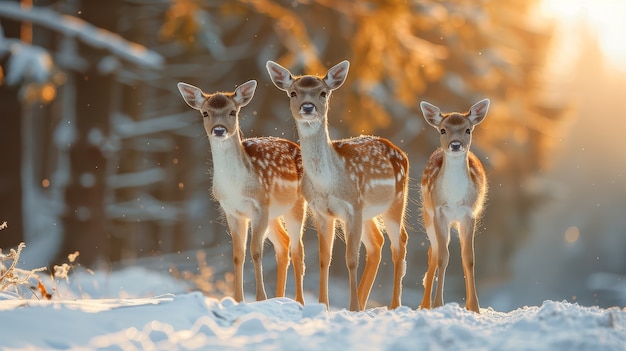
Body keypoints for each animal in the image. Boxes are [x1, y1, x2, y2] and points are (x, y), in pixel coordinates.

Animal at [177, 80, 306, 306]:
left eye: (232, 112)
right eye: (205, 113)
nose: (219, 130)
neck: (237, 187)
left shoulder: (259, 205)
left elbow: (256, 251)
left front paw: (260, 298)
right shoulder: (233, 211)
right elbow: (238, 254)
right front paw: (237, 299)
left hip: (296, 206)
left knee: (298, 249)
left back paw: (298, 301)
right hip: (274, 214)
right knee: (284, 244)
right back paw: (279, 298)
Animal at [266, 59, 410, 312]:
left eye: (323, 93)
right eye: (293, 92)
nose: (308, 107)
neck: (328, 182)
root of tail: (401, 152)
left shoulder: (352, 206)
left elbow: (351, 259)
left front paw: (351, 307)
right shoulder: (321, 211)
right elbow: (325, 258)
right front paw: (324, 304)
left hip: (396, 201)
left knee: (399, 243)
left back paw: (392, 305)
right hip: (369, 213)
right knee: (377, 243)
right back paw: (363, 301)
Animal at [416, 99, 490, 314]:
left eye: (468, 130)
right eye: (443, 130)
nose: (455, 145)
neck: (456, 198)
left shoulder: (469, 214)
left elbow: (468, 258)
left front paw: (474, 308)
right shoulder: (439, 213)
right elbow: (443, 257)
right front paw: (438, 304)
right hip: (428, 215)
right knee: (433, 253)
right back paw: (424, 305)